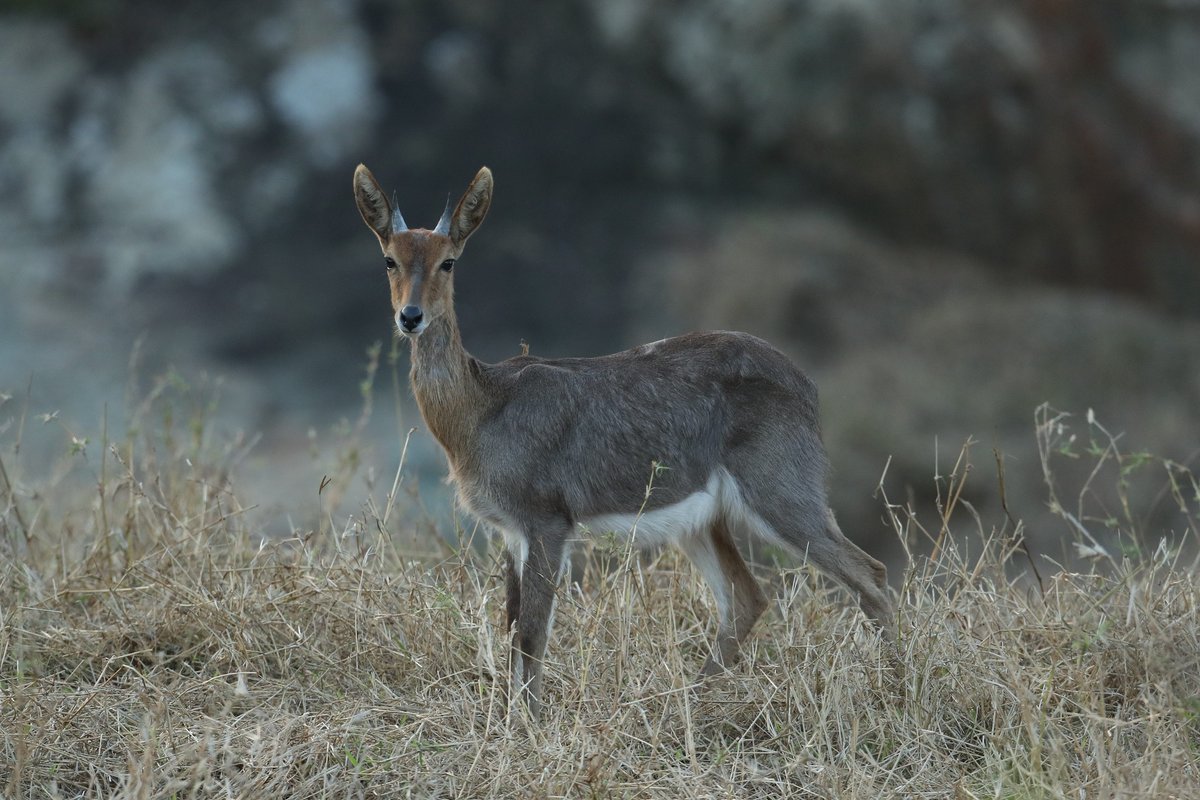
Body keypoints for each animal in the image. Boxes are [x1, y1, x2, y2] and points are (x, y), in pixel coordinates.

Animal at [352, 164, 895, 719]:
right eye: (389, 258)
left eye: (449, 261)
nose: (410, 316)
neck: (482, 407)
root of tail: (807, 387)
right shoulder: (509, 531)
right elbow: (511, 626)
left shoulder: (548, 522)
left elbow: (532, 633)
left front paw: (528, 724)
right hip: (702, 522)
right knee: (748, 597)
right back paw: (684, 700)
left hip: (781, 496)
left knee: (870, 574)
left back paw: (895, 688)